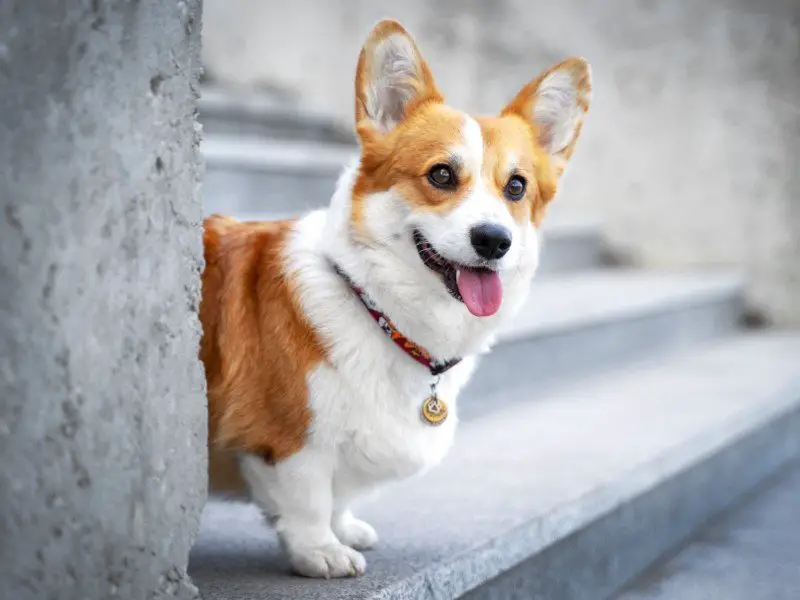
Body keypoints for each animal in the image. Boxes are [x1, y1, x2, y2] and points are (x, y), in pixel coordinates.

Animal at [200, 18, 588, 580]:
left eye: (516, 187)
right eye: (441, 174)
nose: (494, 240)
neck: (375, 304)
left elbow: (336, 498)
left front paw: (344, 528)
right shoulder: (288, 441)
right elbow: (308, 497)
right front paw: (321, 551)